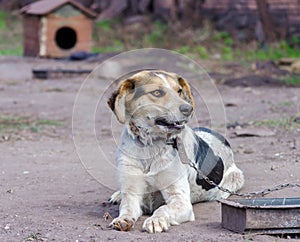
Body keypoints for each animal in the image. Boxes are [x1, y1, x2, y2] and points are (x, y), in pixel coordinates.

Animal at [107, 69, 244, 233]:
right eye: (157, 92)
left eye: (179, 91)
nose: (189, 109)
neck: (150, 147)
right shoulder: (132, 193)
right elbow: (127, 207)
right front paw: (122, 219)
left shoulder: (180, 200)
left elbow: (162, 208)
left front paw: (155, 220)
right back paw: (117, 196)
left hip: (235, 178)